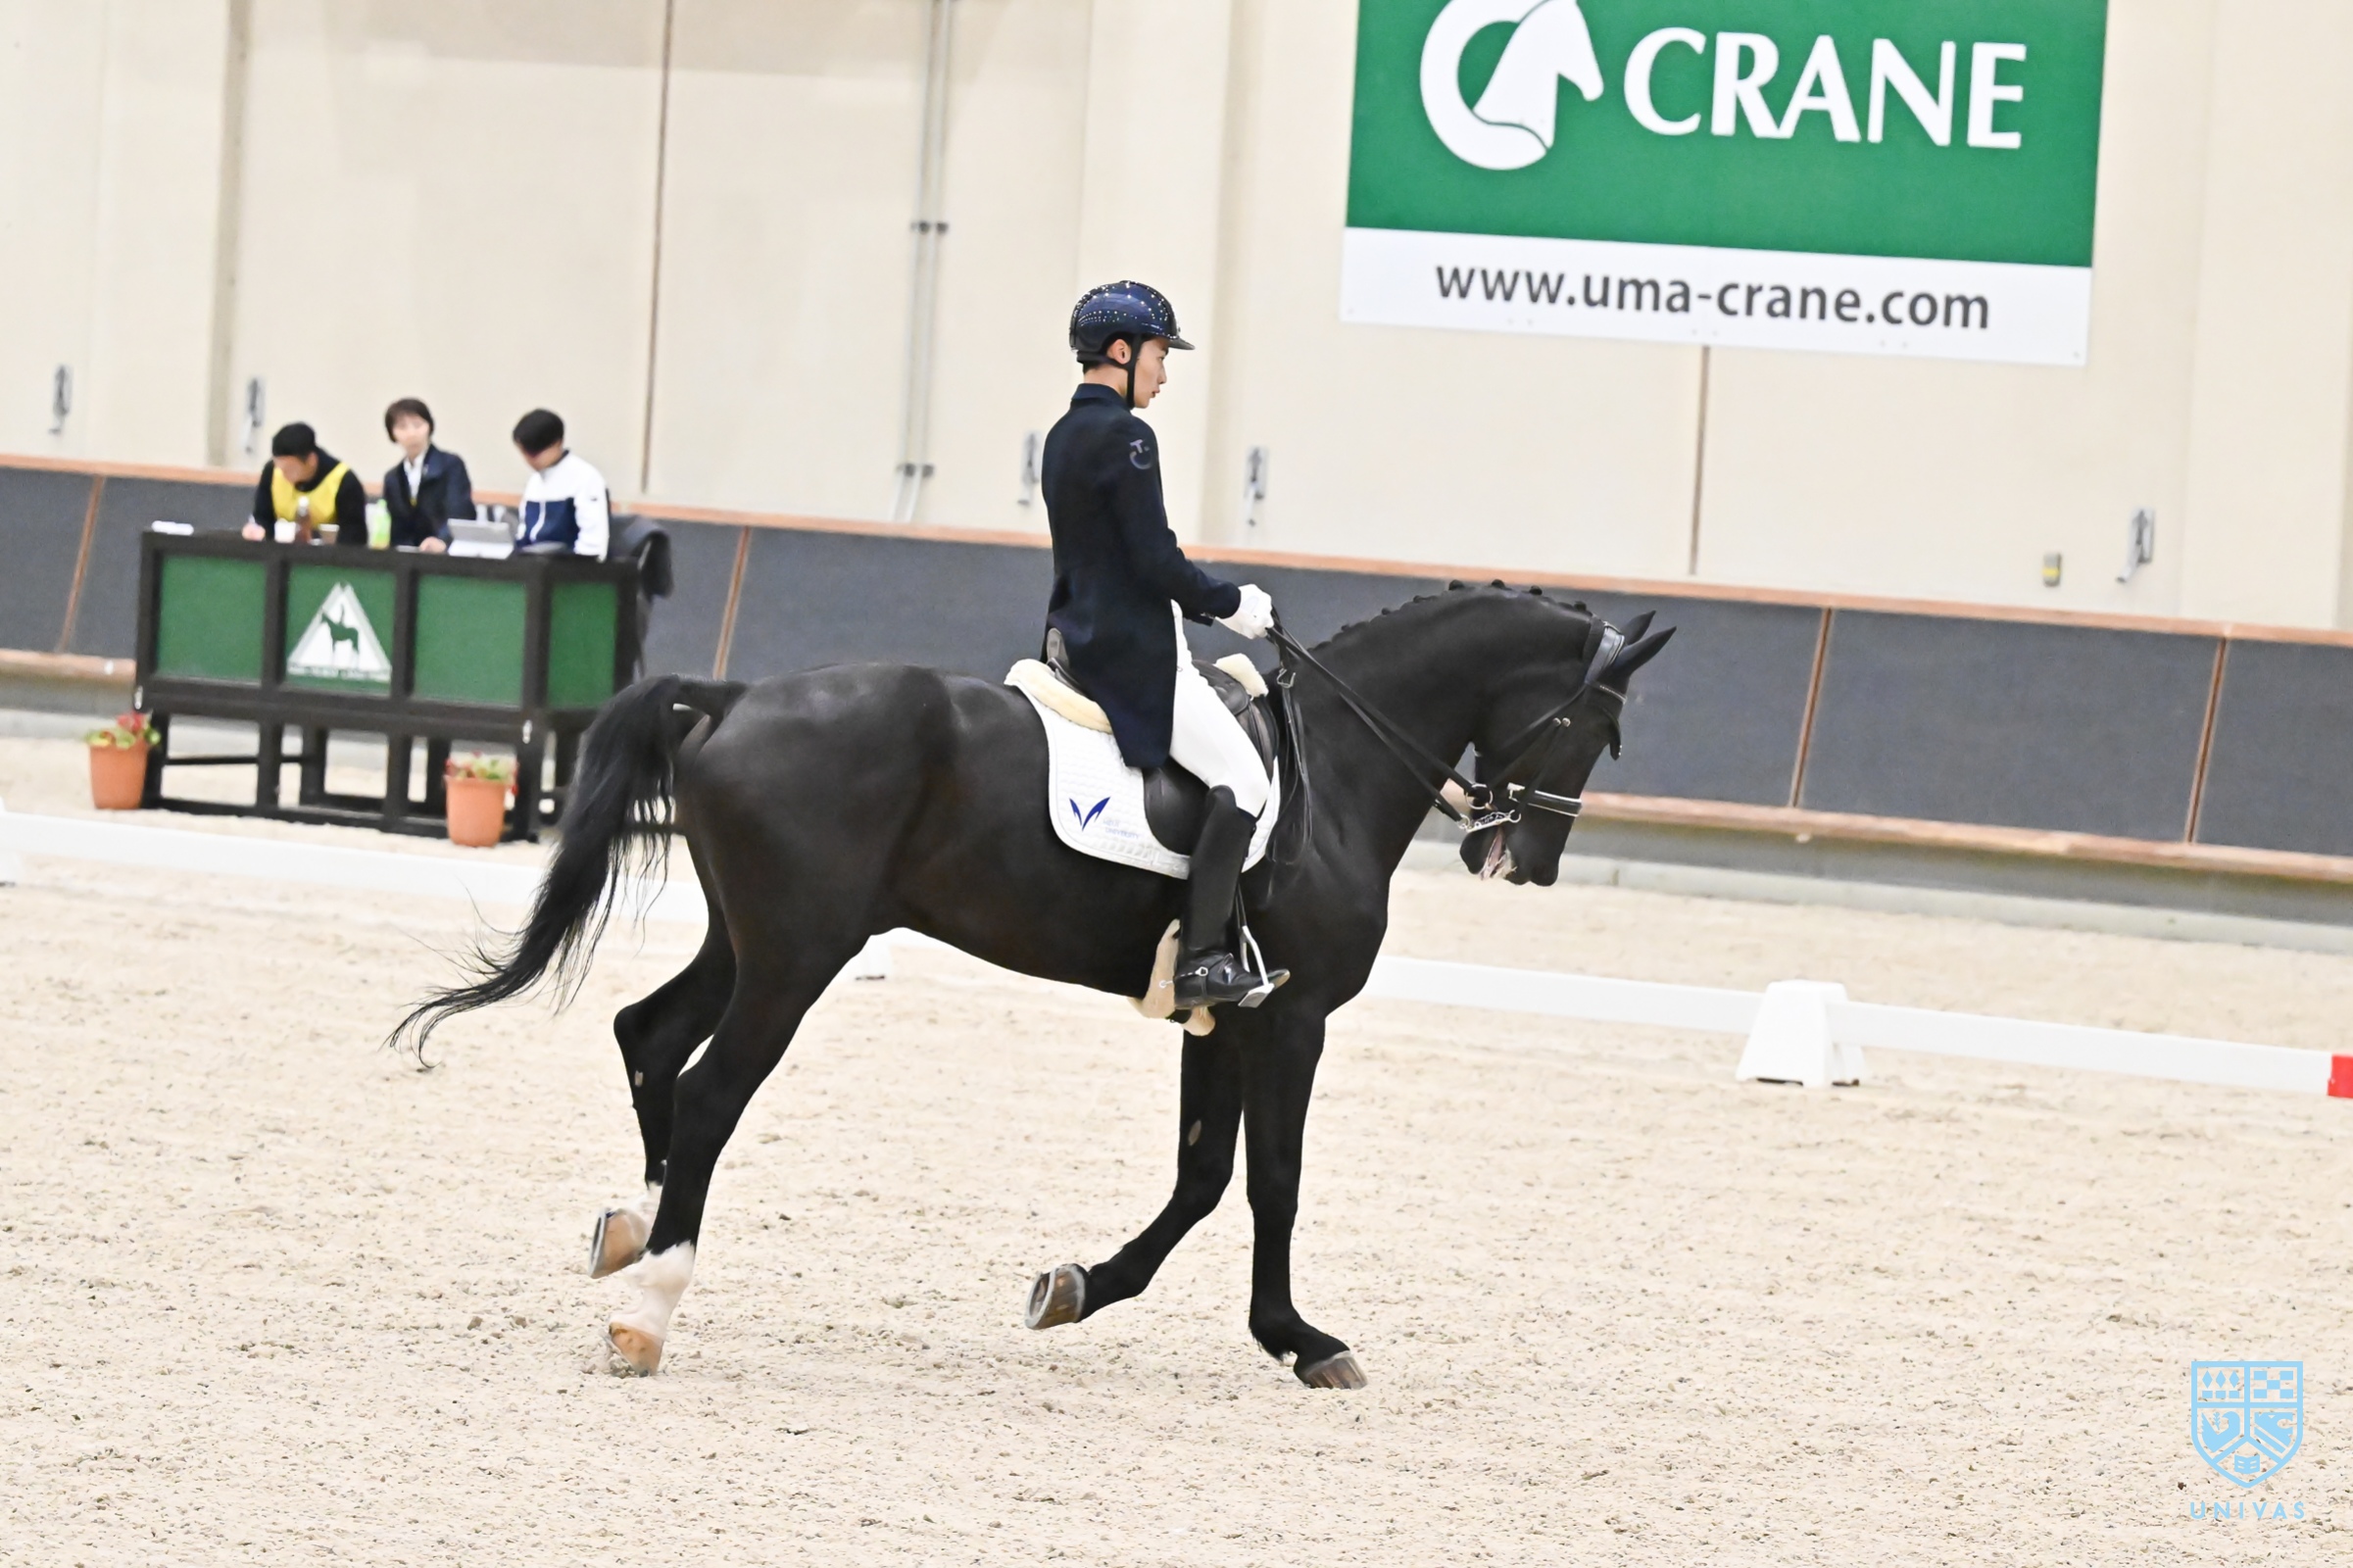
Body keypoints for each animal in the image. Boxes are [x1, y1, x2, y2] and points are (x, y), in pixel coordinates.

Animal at [398, 581, 1673, 1388]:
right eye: (1596, 724)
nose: (1528, 858)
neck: (1342, 765)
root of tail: (735, 696)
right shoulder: (1293, 1020)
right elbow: (1273, 1183)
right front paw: (1302, 1340)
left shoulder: (1222, 1014)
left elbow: (1202, 1175)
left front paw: (1075, 1286)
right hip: (798, 956)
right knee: (709, 1090)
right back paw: (647, 1310)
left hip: (748, 940)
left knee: (649, 1037)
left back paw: (632, 1229)